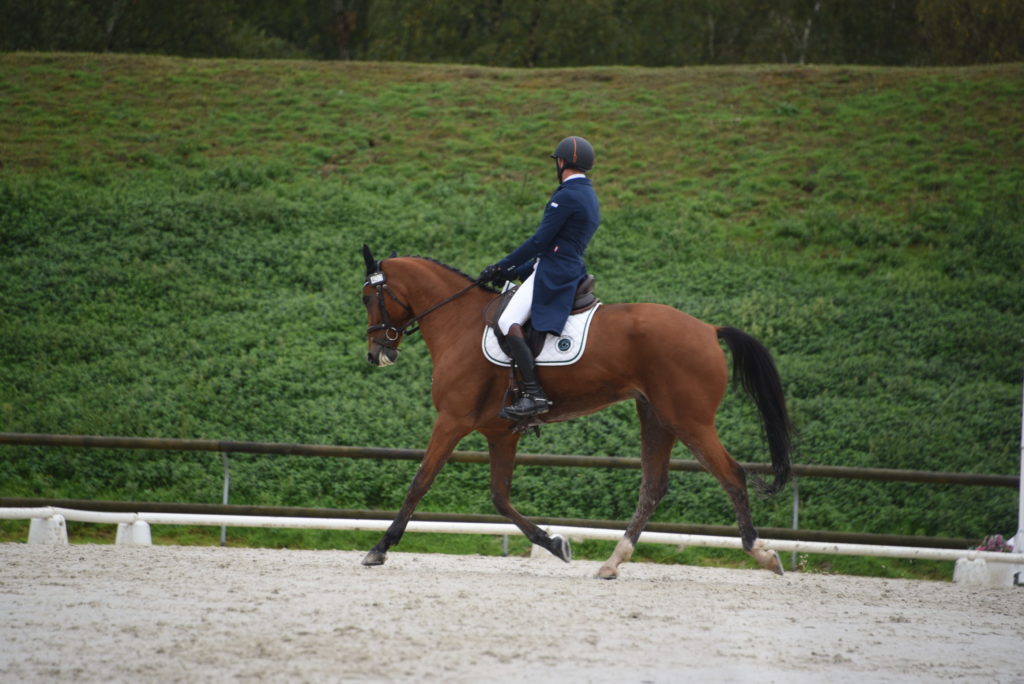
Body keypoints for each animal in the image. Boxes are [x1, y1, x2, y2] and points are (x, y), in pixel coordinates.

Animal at [360, 245, 790, 577]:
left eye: (367, 298)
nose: (377, 353)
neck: (459, 321)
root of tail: (708, 329)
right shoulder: (501, 432)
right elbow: (500, 497)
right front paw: (554, 543)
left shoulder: (452, 420)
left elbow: (421, 482)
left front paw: (380, 548)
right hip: (656, 417)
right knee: (653, 486)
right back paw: (613, 562)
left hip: (690, 420)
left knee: (731, 475)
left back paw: (762, 554)